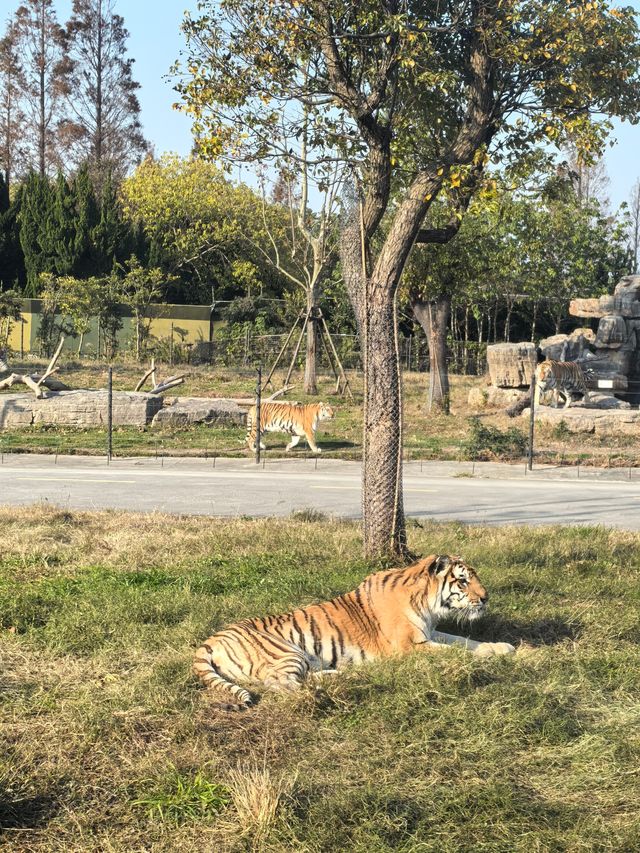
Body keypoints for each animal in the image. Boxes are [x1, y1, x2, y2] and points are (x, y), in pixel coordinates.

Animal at [192, 552, 516, 704]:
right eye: (462, 581)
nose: (486, 598)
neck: (428, 606)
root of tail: (210, 639)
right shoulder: (410, 646)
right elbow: (455, 653)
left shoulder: (430, 633)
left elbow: (463, 641)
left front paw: (501, 647)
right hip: (286, 652)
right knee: (282, 685)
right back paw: (341, 684)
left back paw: (344, 675)